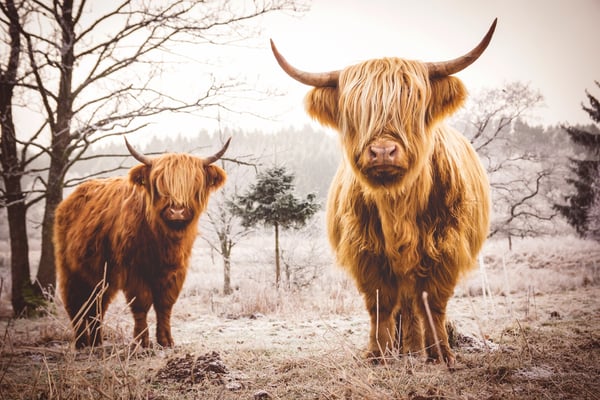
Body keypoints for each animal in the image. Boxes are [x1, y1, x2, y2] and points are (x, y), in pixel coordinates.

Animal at [54, 137, 230, 346]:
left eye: (194, 182)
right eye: (160, 183)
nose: (177, 211)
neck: (162, 240)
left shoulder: (175, 270)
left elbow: (165, 303)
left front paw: (166, 340)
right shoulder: (133, 269)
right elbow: (142, 303)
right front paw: (142, 341)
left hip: (101, 275)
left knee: (97, 305)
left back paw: (96, 342)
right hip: (70, 269)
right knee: (75, 305)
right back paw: (81, 343)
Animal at [270, 21, 494, 366]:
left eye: (413, 105)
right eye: (355, 111)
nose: (383, 152)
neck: (398, 206)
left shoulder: (445, 247)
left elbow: (433, 302)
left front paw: (442, 354)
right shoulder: (366, 251)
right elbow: (380, 303)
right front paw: (378, 354)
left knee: (414, 301)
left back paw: (415, 349)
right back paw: (404, 348)